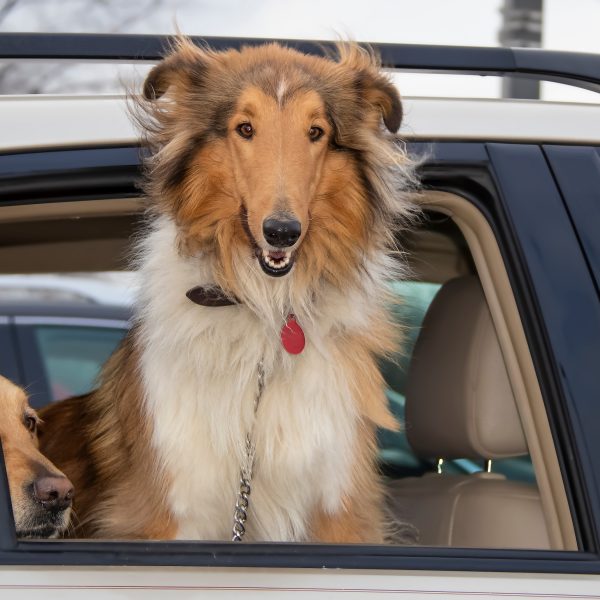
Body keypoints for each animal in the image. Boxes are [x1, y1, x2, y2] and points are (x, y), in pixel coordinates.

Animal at [39, 39, 418, 540]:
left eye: (316, 131)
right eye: (245, 128)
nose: (282, 232)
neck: (266, 308)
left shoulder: (338, 509)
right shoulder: (174, 511)